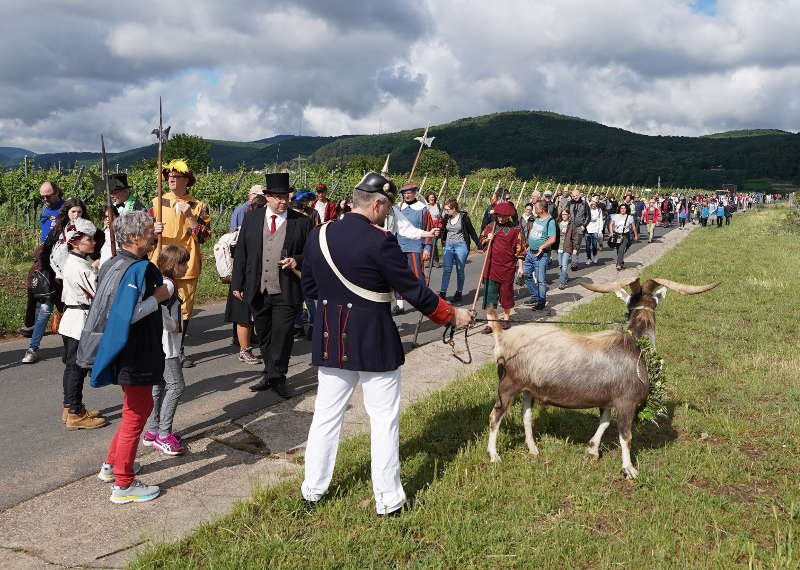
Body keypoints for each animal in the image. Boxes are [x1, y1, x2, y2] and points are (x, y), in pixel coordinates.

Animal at [484, 276, 720, 474]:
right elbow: (626, 435)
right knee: (495, 416)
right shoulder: (626, 402)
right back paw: (494, 455)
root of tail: (502, 337)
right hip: (508, 384)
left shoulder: (608, 399)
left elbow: (605, 422)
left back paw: (533, 449)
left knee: (526, 415)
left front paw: (593, 449)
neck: (635, 345)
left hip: (528, 388)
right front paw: (629, 469)